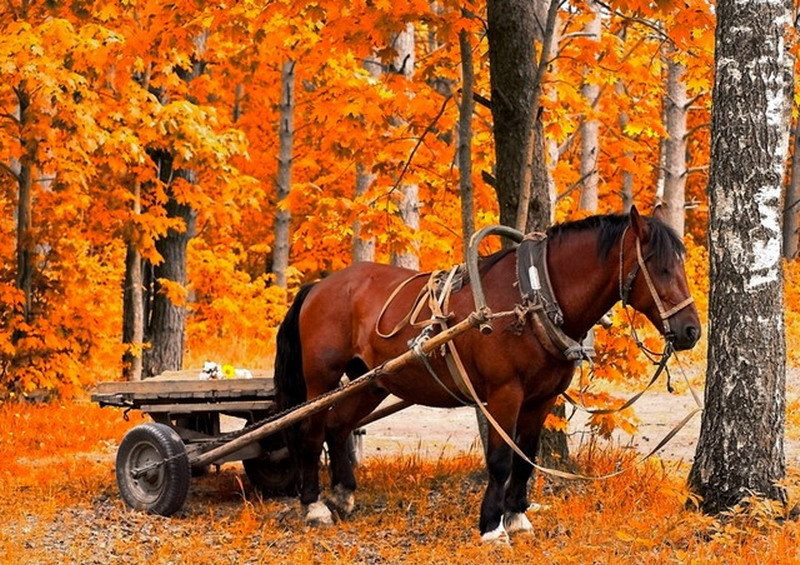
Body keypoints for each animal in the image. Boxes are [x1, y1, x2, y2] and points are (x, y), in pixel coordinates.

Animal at [272, 207, 696, 540]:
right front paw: (492, 526)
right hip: (322, 377)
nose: (691, 331)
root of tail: (320, 285)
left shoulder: (541, 399)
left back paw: (343, 494)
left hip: (372, 380)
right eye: (660, 268)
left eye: (681, 265)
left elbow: (526, 456)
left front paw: (518, 517)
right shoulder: (505, 393)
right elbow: (501, 459)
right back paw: (313, 506)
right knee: (311, 431)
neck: (532, 297)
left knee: (338, 425)